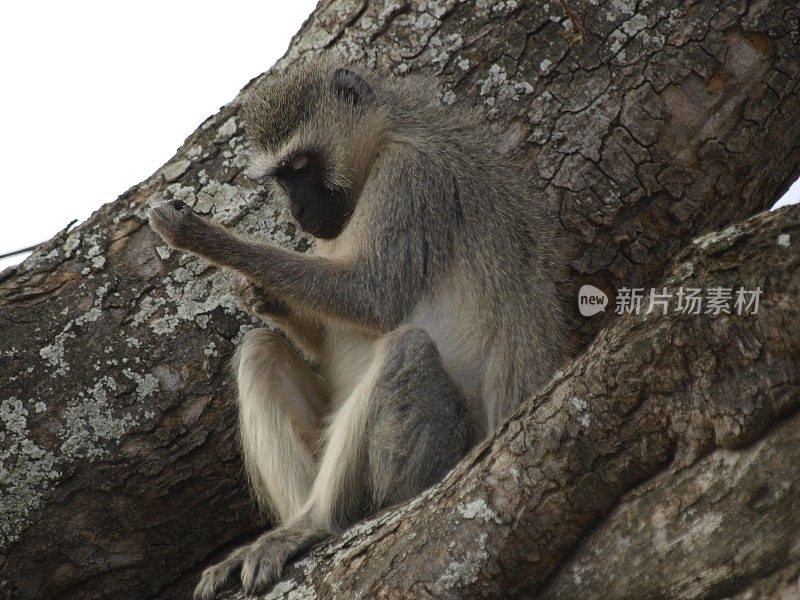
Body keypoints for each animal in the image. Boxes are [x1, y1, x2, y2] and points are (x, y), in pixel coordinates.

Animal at [148, 57, 564, 600]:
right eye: (281, 177)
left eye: (301, 166)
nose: (298, 212)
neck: (386, 139)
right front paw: (263, 296)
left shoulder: (411, 176)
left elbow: (371, 297)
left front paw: (206, 238)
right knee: (260, 351)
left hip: (437, 456)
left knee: (405, 347)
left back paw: (314, 524)